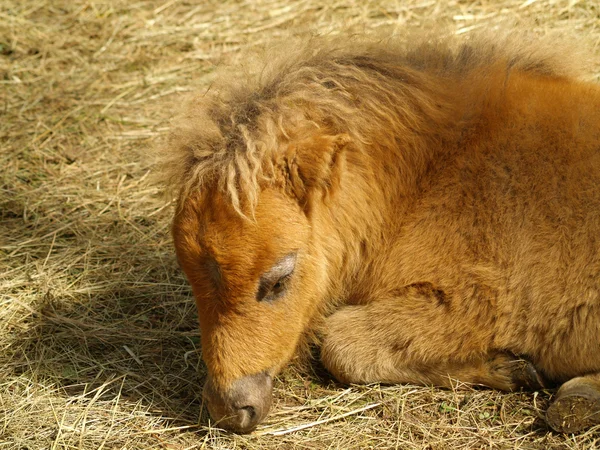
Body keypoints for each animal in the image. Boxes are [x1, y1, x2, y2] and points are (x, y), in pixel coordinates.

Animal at [162, 30, 600, 432]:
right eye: (193, 281)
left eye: (278, 281)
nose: (230, 410)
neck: (429, 173)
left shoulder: (473, 302)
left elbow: (340, 346)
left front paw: (512, 368)